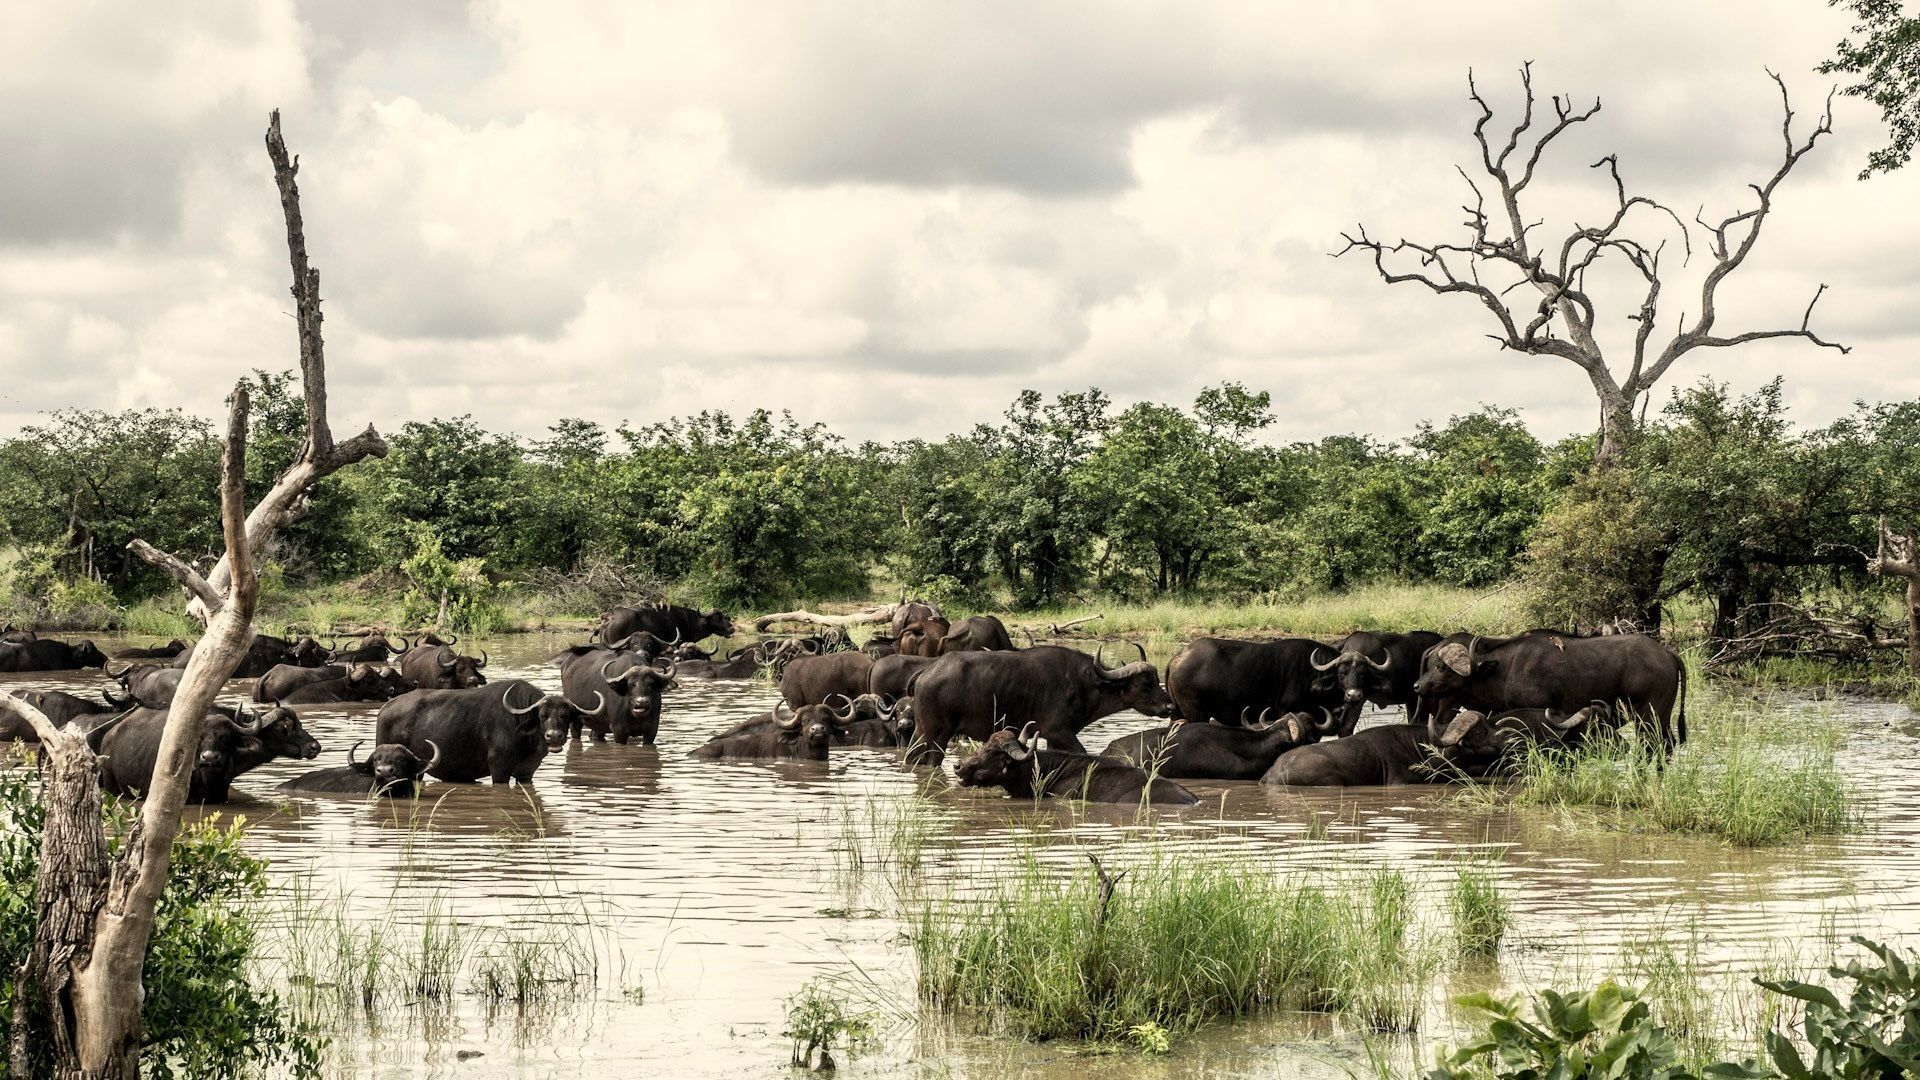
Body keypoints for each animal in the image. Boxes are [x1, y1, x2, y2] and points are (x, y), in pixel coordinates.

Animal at [376, 680, 574, 784]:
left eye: (565, 715)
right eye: (542, 715)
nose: (554, 736)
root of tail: (386, 707)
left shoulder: (527, 772)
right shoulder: (499, 769)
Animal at [906, 645, 1171, 765]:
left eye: (1156, 679)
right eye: (1145, 683)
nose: (1169, 707)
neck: (1086, 683)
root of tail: (928, 670)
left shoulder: (1055, 738)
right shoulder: (1059, 732)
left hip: (921, 732)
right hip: (938, 734)